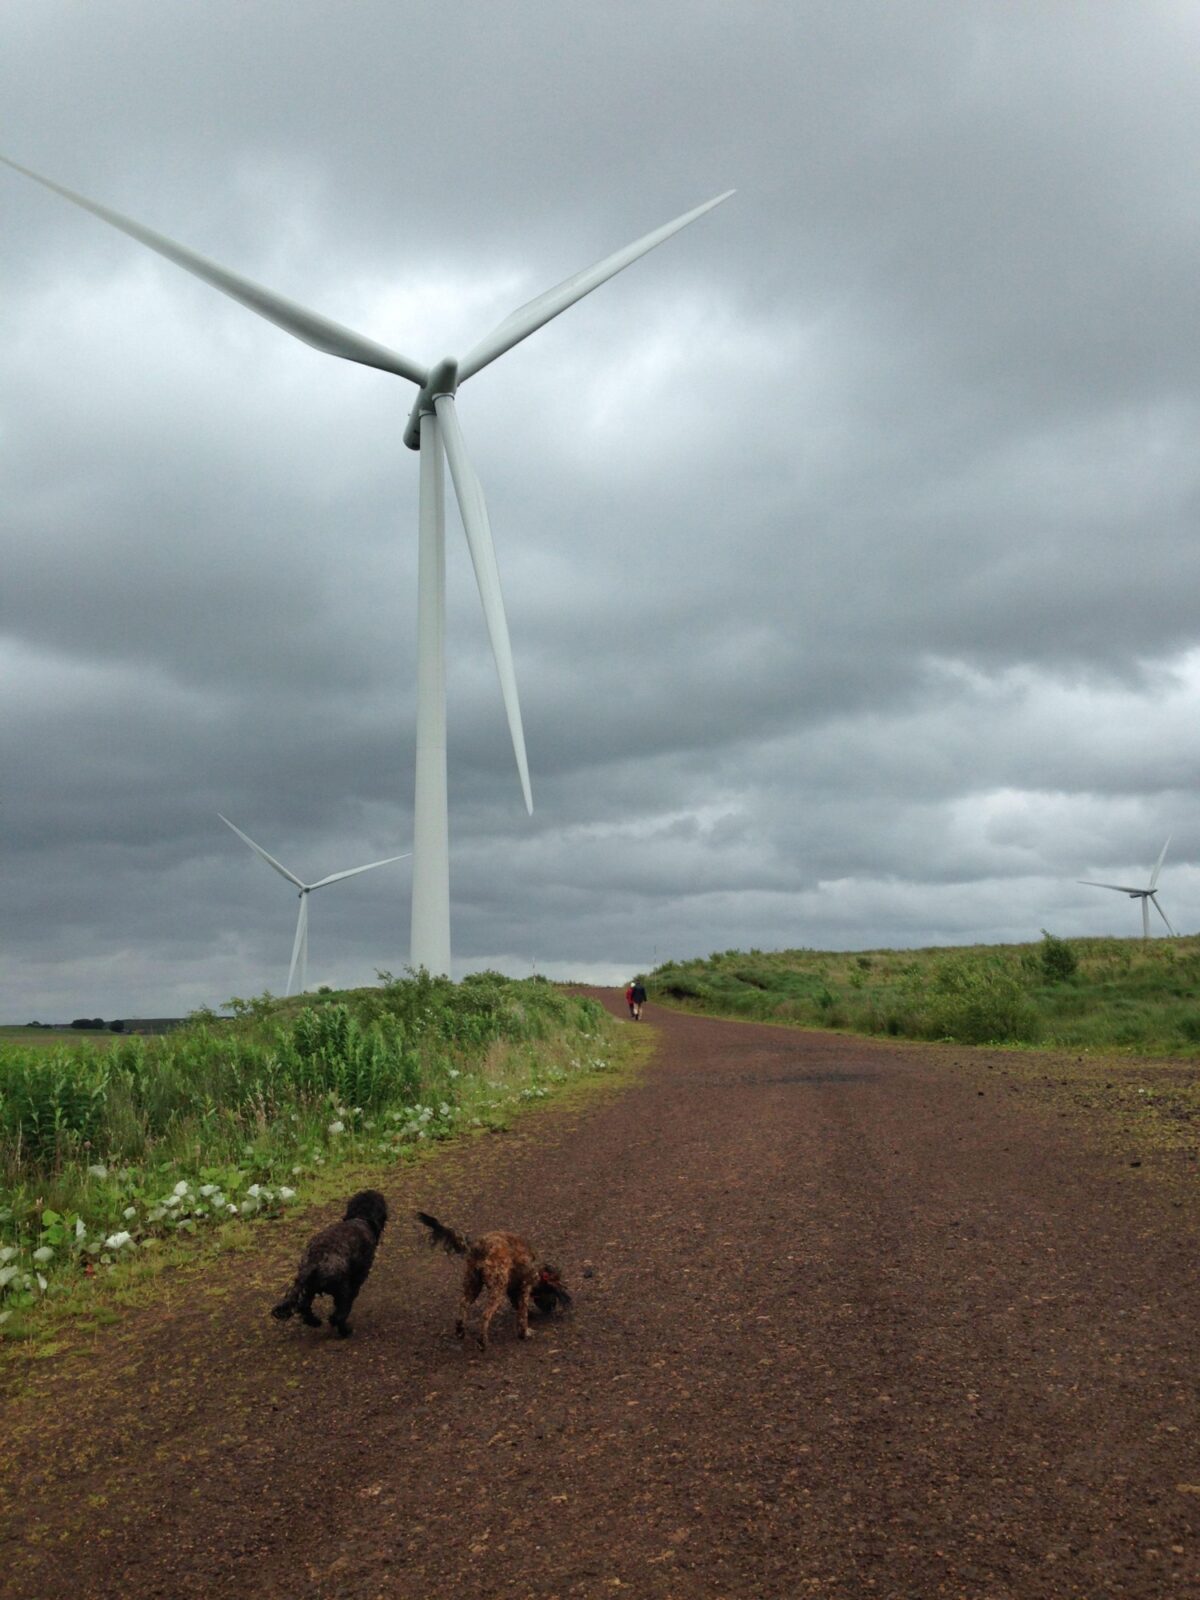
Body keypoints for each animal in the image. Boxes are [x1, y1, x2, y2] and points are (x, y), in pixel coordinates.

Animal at [270, 1190, 387, 1337]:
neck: (360, 1219)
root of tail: (315, 1261)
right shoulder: (357, 1279)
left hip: (309, 1287)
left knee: (304, 1306)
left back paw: (315, 1322)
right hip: (341, 1289)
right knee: (339, 1314)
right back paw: (345, 1331)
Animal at [419, 1209, 572, 1350]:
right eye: (553, 1292)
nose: (551, 1308)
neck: (538, 1270)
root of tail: (479, 1247)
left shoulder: (513, 1290)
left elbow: (518, 1307)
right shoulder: (524, 1287)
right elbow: (522, 1314)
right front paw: (525, 1333)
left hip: (473, 1285)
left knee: (463, 1305)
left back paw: (460, 1331)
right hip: (497, 1290)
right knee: (485, 1315)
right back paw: (482, 1342)